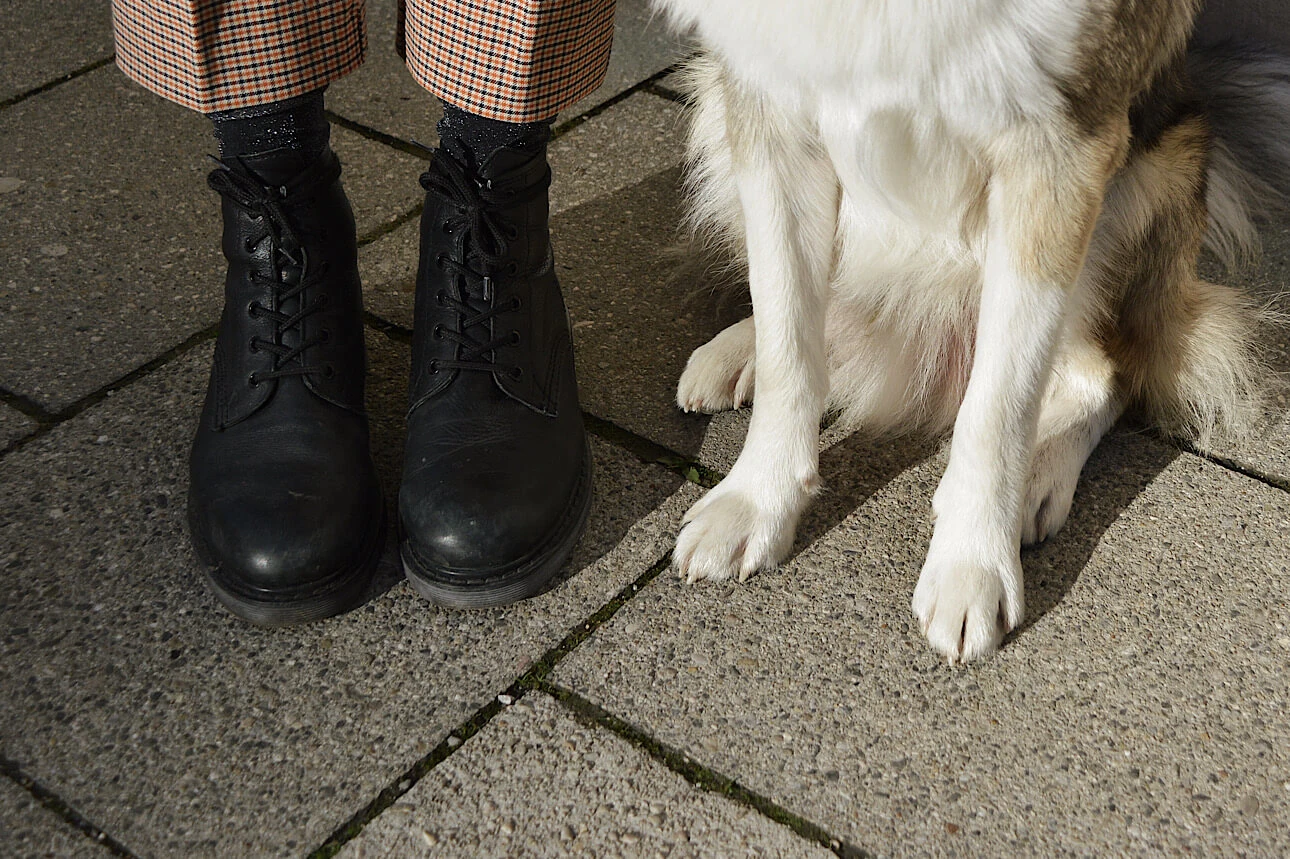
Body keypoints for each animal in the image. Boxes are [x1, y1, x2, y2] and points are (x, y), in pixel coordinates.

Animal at [660, 0, 1284, 660]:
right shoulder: (766, 100)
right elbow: (788, 338)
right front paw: (755, 499)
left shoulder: (1060, 147)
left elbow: (998, 406)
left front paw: (974, 564)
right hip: (713, 100)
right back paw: (738, 350)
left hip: (1143, 186)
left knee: (1112, 369)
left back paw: (1038, 475)